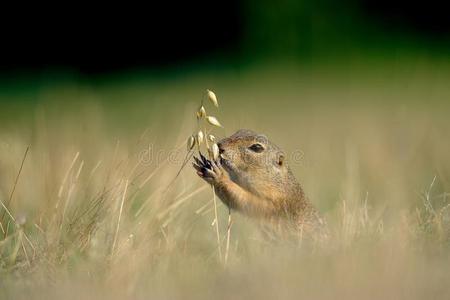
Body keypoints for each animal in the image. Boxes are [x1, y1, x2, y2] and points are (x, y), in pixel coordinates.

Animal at [193, 129, 326, 241]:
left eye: (257, 147)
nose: (219, 145)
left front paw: (218, 175)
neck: (280, 184)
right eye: (239, 131)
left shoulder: (274, 203)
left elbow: (247, 201)